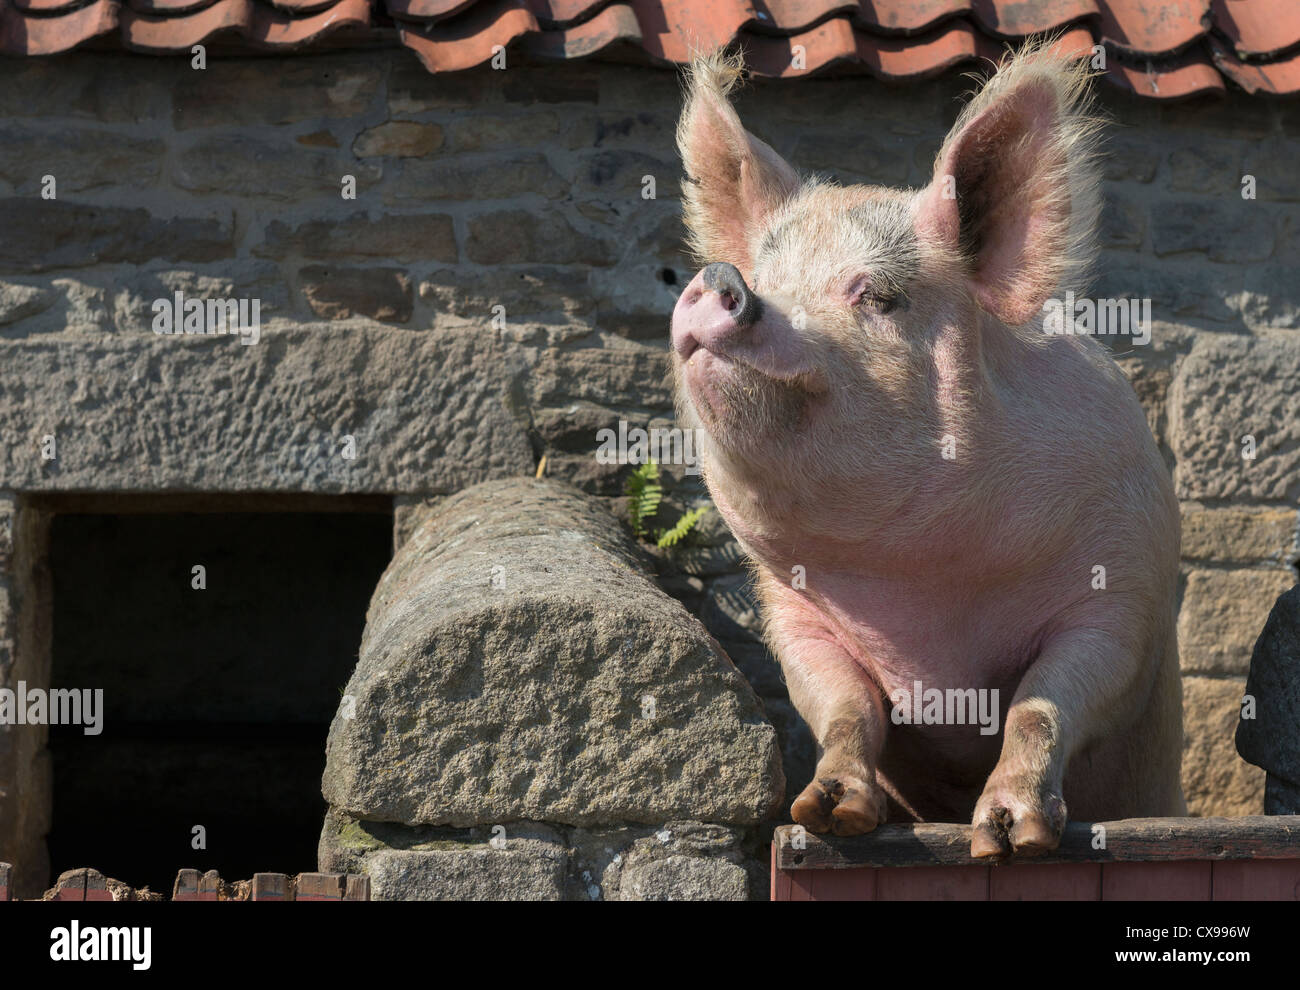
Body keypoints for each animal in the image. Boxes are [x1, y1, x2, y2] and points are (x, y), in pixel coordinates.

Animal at [670, 44, 1190, 857]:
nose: (723, 278)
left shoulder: (1124, 594)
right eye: (764, 274)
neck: (927, 604)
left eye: (878, 296)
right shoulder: (794, 615)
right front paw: (825, 814)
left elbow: (1042, 704)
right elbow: (846, 708)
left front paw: (1008, 840)